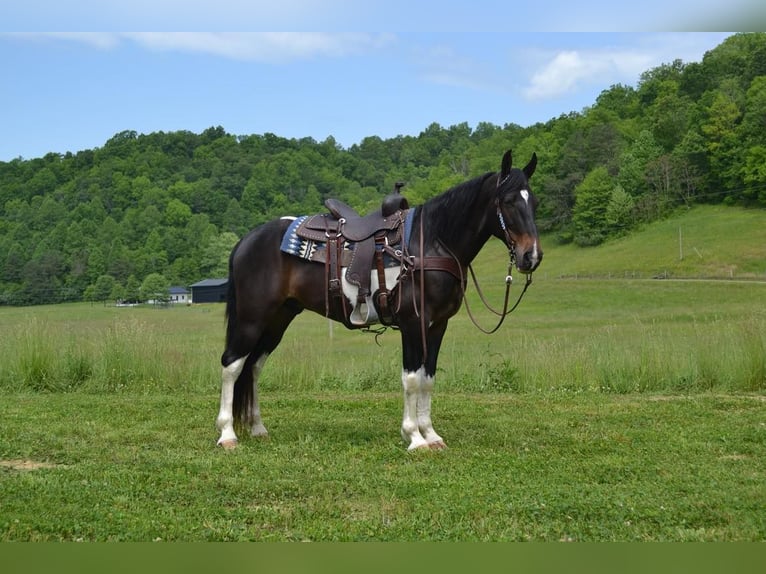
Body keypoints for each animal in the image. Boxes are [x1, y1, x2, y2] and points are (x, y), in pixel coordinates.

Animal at [213, 151, 544, 452]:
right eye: (509, 201)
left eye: (534, 202)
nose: (532, 256)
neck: (431, 242)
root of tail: (246, 241)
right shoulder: (413, 323)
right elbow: (411, 379)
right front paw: (414, 437)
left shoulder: (438, 326)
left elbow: (428, 378)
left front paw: (431, 435)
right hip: (252, 318)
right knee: (232, 365)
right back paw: (227, 434)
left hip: (278, 318)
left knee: (254, 366)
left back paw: (257, 428)